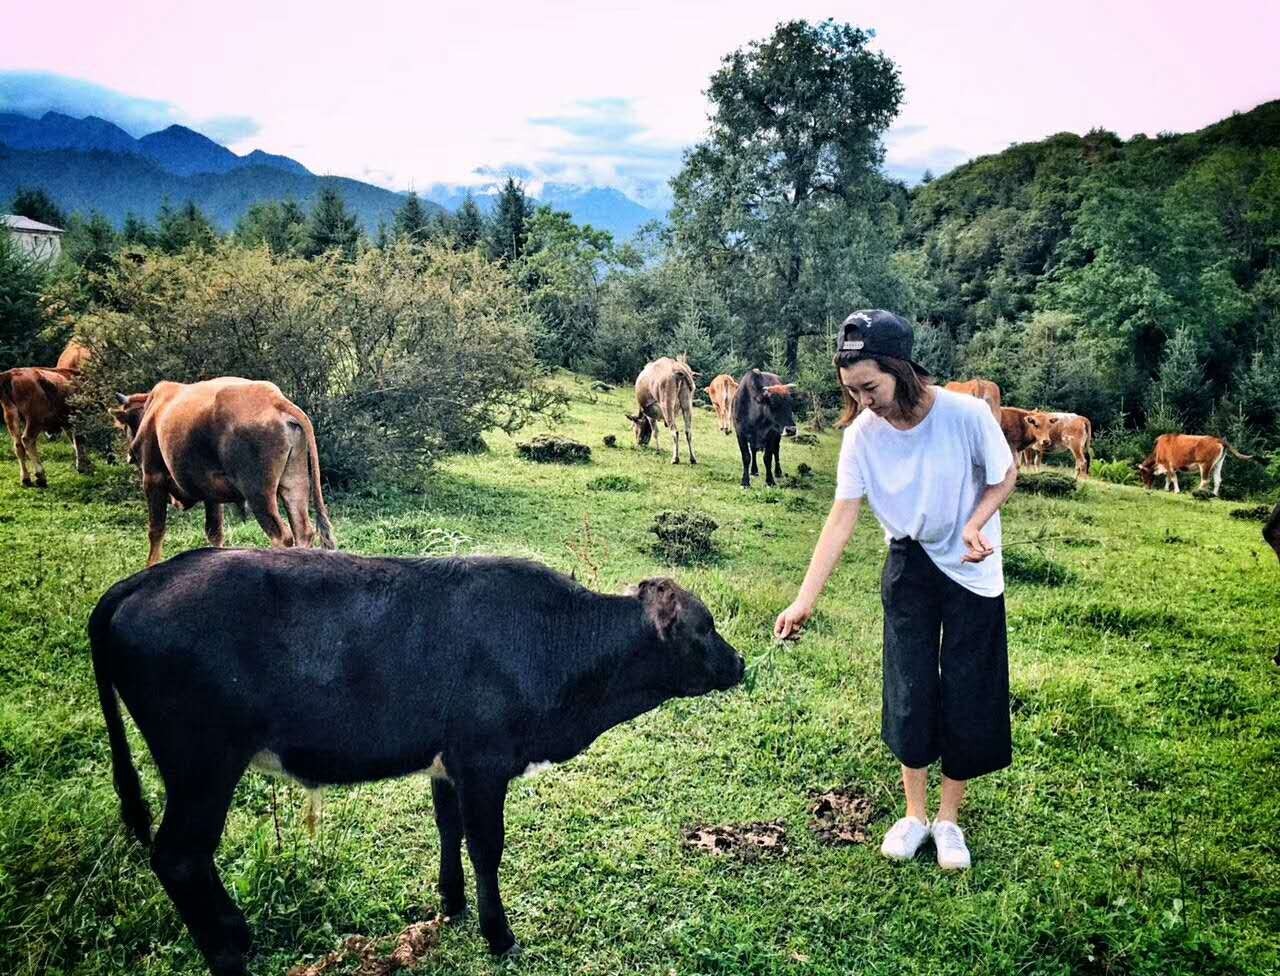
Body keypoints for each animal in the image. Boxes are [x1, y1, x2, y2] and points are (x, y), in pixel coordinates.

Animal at [90, 543, 747, 968]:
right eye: (707, 626)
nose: (741, 662)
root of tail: (148, 578)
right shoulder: (484, 762)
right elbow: (486, 847)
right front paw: (498, 934)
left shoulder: (447, 764)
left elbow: (448, 830)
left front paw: (451, 905)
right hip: (203, 766)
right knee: (179, 857)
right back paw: (229, 951)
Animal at [109, 376, 332, 566]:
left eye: (126, 426)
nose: (129, 455)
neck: (153, 410)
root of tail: (274, 399)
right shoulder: (211, 493)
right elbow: (215, 532)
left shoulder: (152, 478)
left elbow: (156, 530)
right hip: (294, 483)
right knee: (303, 531)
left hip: (258, 493)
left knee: (281, 536)